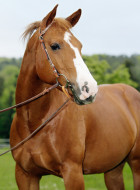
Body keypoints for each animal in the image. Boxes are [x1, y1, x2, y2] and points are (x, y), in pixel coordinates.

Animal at [10, 4, 140, 190]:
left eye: (80, 46)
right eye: (55, 45)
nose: (89, 89)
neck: (36, 123)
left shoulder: (73, 173)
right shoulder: (25, 175)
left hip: (136, 165)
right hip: (113, 169)